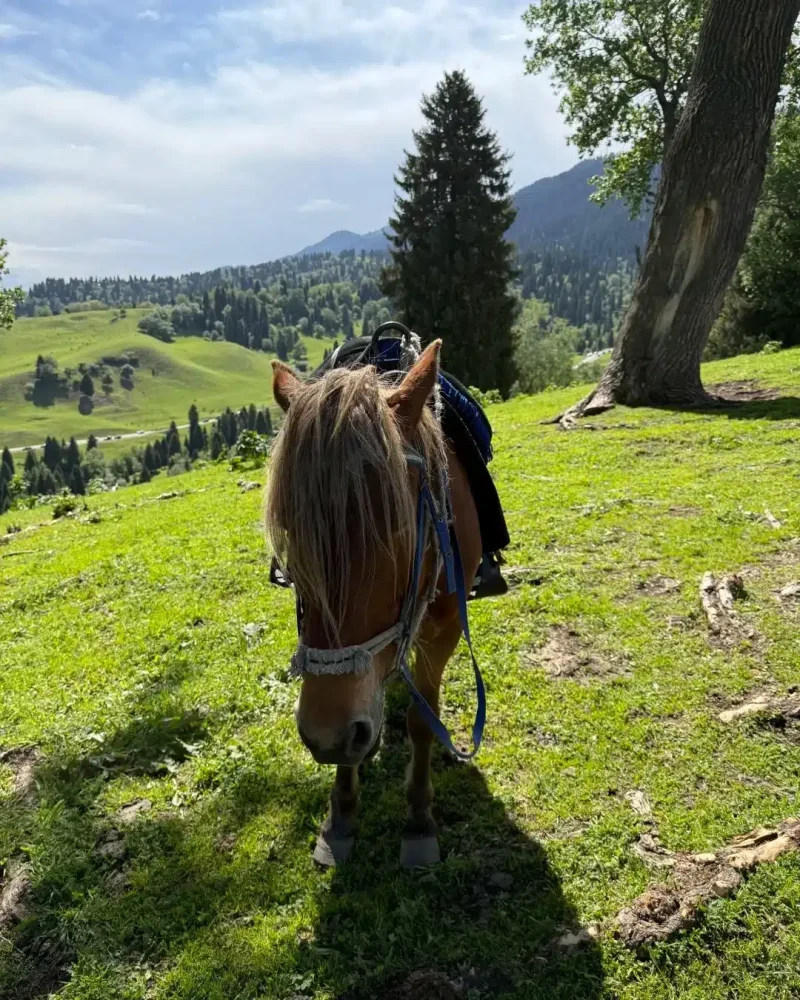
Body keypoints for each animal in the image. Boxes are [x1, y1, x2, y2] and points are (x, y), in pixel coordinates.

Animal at [267, 340, 483, 868]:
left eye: (397, 532)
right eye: (291, 544)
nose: (325, 734)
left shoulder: (446, 625)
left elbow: (423, 719)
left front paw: (419, 819)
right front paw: (341, 815)